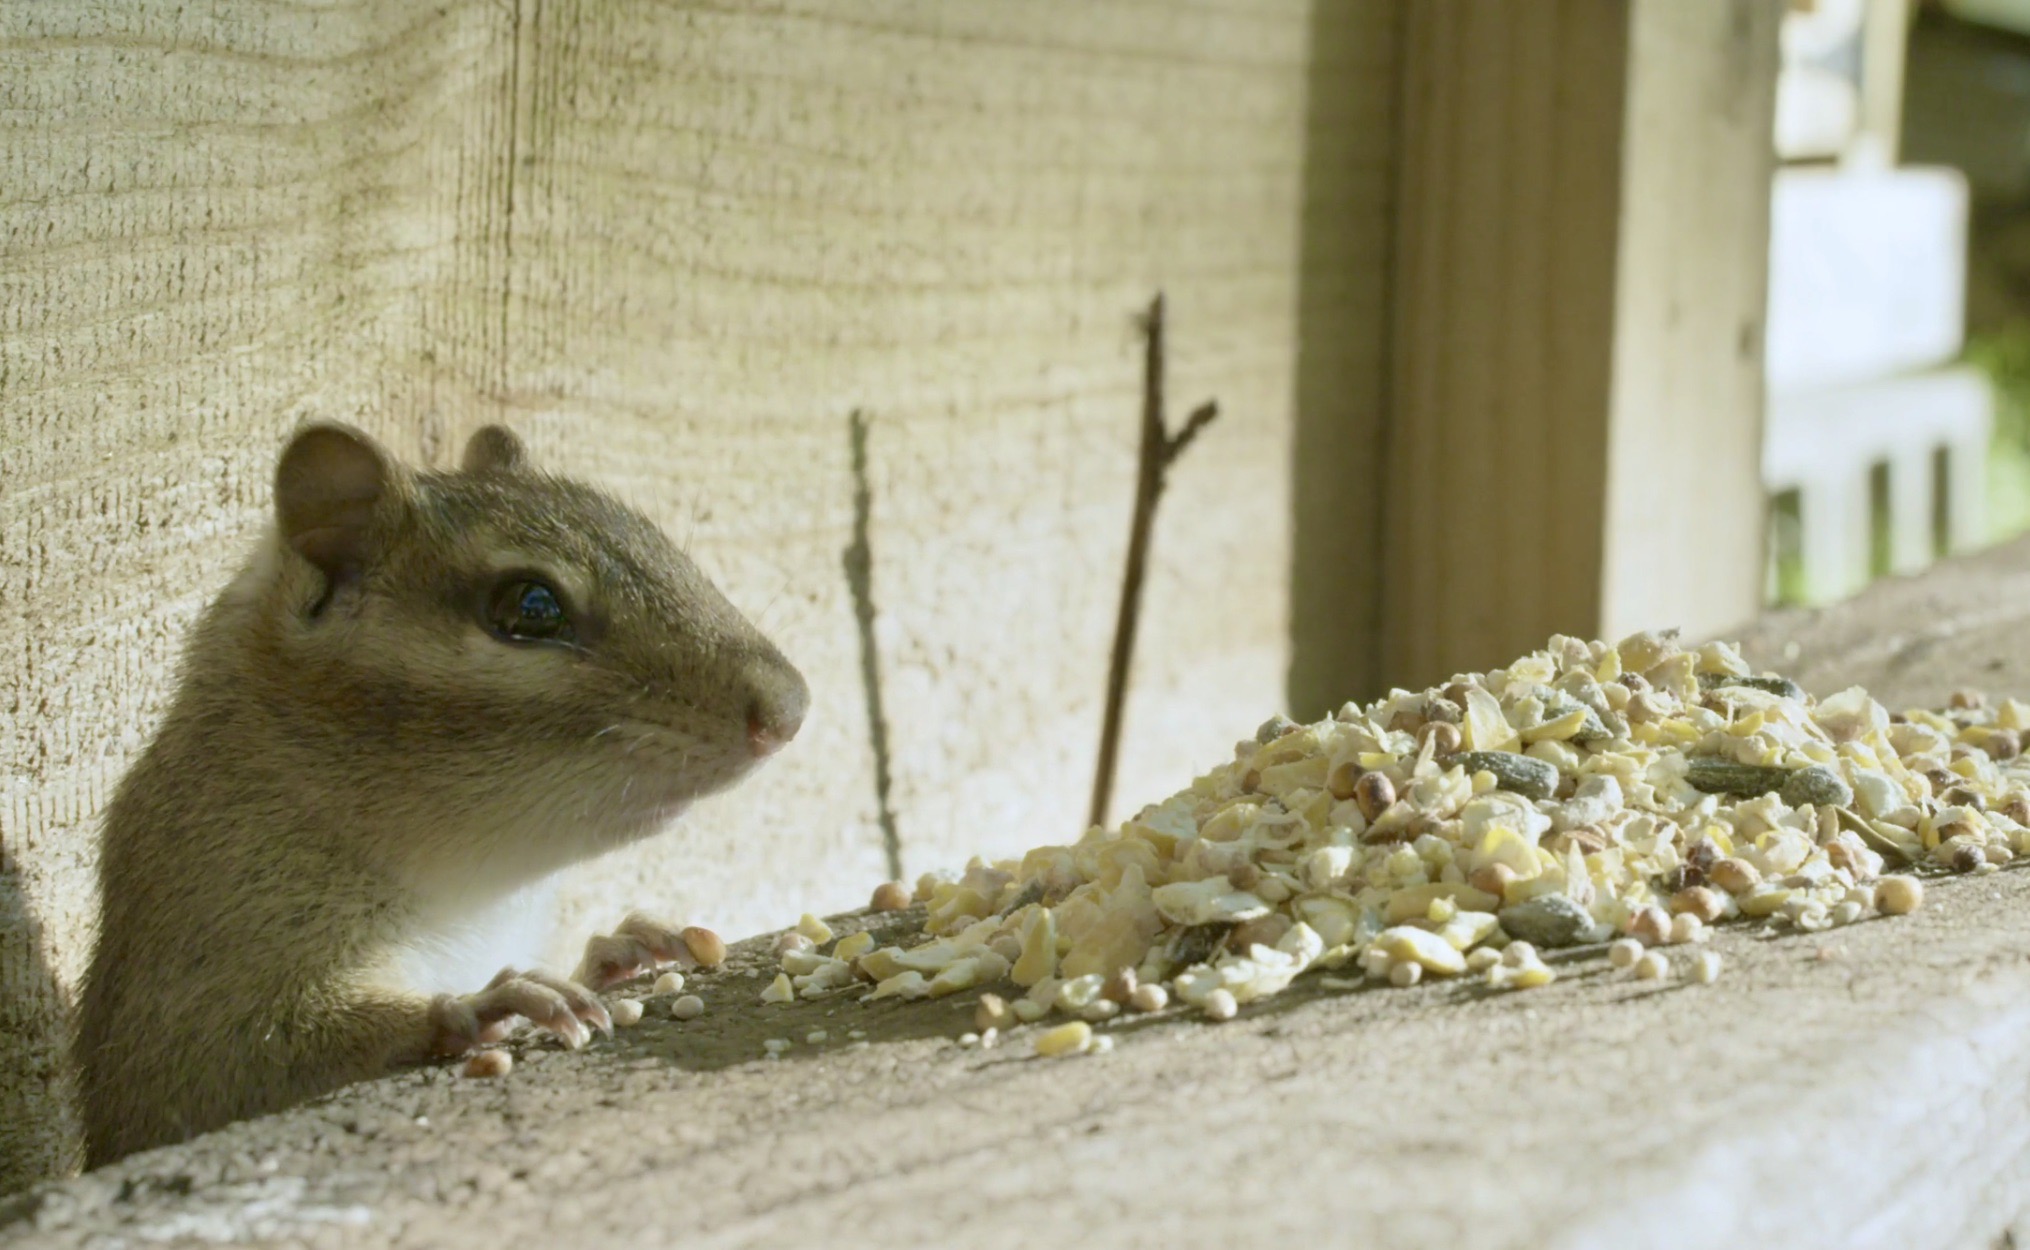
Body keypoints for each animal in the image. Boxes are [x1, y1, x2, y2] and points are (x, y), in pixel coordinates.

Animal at [74, 421, 808, 1167]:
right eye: (531, 606)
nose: (790, 710)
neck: (477, 895)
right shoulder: (213, 957)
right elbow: (253, 1059)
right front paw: (490, 1001)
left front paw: (618, 949)